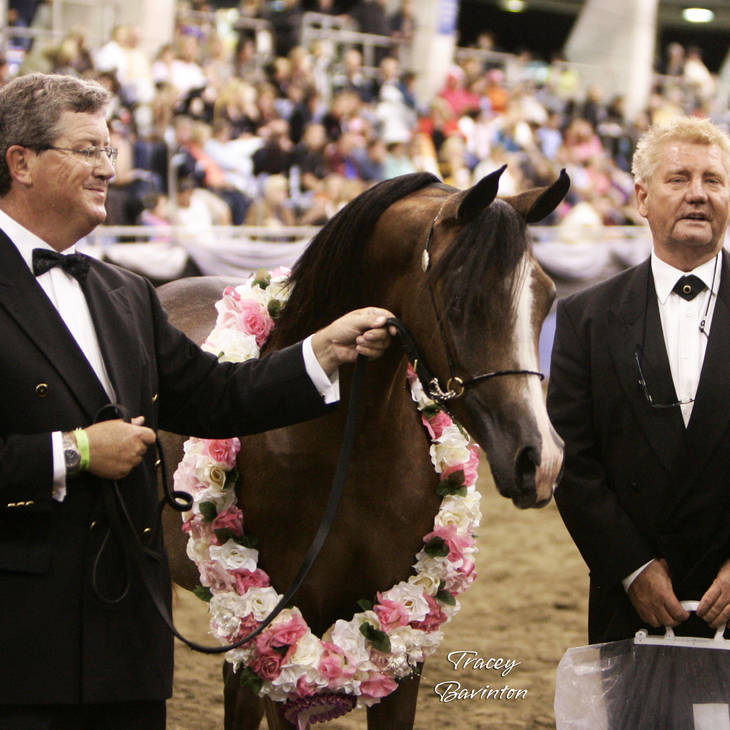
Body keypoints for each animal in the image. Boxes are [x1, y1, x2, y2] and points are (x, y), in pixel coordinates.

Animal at [158, 166, 569, 730]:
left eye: (547, 298)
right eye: (461, 302)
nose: (540, 460)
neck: (346, 453)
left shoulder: (402, 651)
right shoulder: (280, 640)